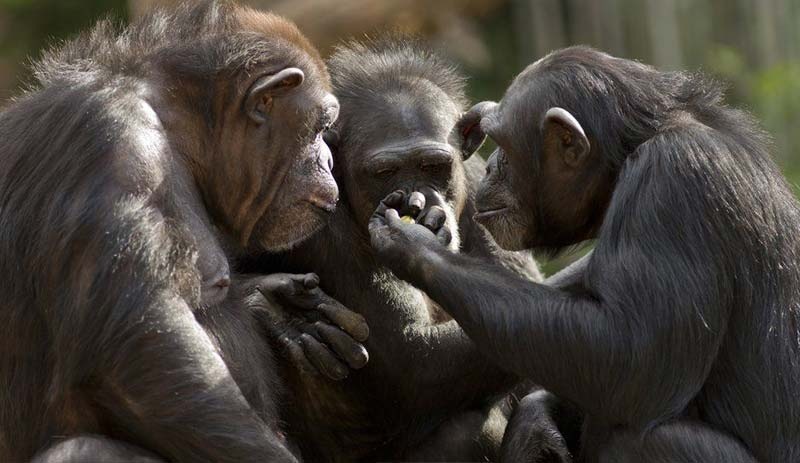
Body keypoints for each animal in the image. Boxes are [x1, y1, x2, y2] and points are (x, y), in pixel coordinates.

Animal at [0, 1, 368, 462]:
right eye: (320, 128)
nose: (328, 160)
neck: (176, 128)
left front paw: (278, 307)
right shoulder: (112, 147)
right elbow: (146, 354)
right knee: (86, 448)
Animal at [248, 38, 544, 462]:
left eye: (433, 165)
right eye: (385, 172)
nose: (415, 200)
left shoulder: (484, 188)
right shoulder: (317, 225)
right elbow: (412, 356)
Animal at [370, 46, 800, 463]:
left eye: (503, 146)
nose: (489, 166)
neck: (629, 154)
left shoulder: (674, 181)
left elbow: (632, 355)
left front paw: (413, 243)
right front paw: (536, 423)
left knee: (638, 440)